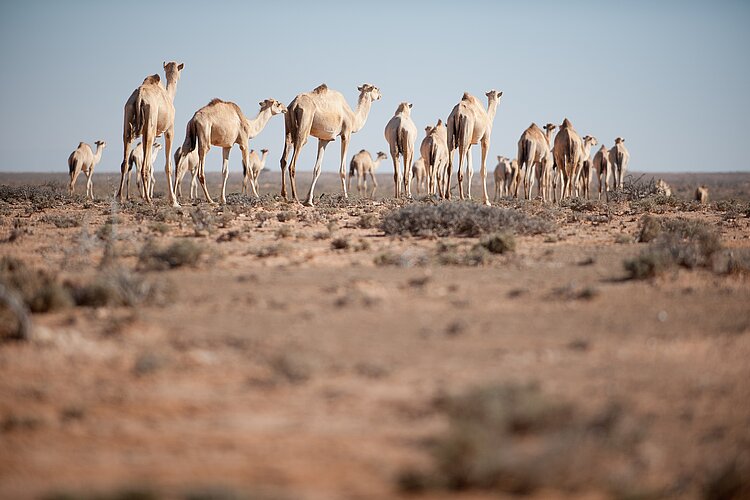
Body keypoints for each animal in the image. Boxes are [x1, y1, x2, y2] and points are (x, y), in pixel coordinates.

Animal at [116, 62, 185, 207]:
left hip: (128, 120)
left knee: (125, 163)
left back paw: (119, 197)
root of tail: (139, 97)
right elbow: (168, 166)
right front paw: (174, 200)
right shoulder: (170, 130)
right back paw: (148, 199)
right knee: (145, 166)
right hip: (150, 127)